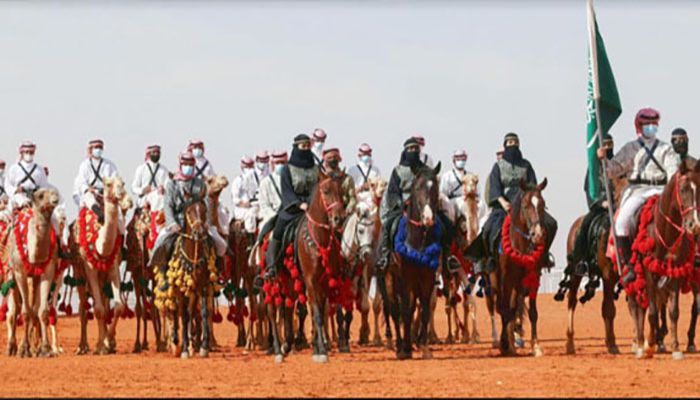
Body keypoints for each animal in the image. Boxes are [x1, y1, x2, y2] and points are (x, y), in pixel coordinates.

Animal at [5, 188, 60, 356]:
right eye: (41, 196)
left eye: (55, 192)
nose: (55, 199)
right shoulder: (20, 273)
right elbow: (25, 311)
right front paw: (24, 349)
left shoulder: (47, 271)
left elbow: (42, 311)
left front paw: (45, 349)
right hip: (10, 275)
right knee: (14, 311)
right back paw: (11, 347)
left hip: (34, 278)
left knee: (33, 308)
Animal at [71, 177, 133, 354]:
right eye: (108, 184)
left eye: (123, 183)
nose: (125, 198)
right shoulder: (90, 268)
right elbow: (98, 309)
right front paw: (101, 346)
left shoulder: (113, 267)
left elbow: (117, 307)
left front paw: (109, 341)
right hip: (78, 272)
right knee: (83, 308)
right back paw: (82, 346)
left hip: (102, 278)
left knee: (104, 305)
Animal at [380, 162, 440, 360]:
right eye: (417, 187)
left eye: (435, 187)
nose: (428, 218)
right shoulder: (405, 278)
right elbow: (404, 311)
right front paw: (406, 348)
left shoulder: (427, 278)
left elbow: (425, 310)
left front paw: (425, 347)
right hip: (389, 280)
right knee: (394, 310)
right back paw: (399, 345)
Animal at [494, 178, 548, 356]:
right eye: (525, 205)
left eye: (543, 204)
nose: (538, 235)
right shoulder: (506, 279)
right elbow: (505, 310)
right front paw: (505, 344)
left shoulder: (533, 277)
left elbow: (532, 312)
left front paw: (536, 346)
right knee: (502, 307)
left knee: (514, 308)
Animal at [628, 160, 700, 360]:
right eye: (683, 189)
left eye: (699, 188)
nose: (694, 225)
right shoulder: (648, 273)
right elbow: (652, 312)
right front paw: (649, 345)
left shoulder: (675, 272)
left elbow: (674, 311)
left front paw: (676, 347)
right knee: (637, 306)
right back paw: (640, 343)